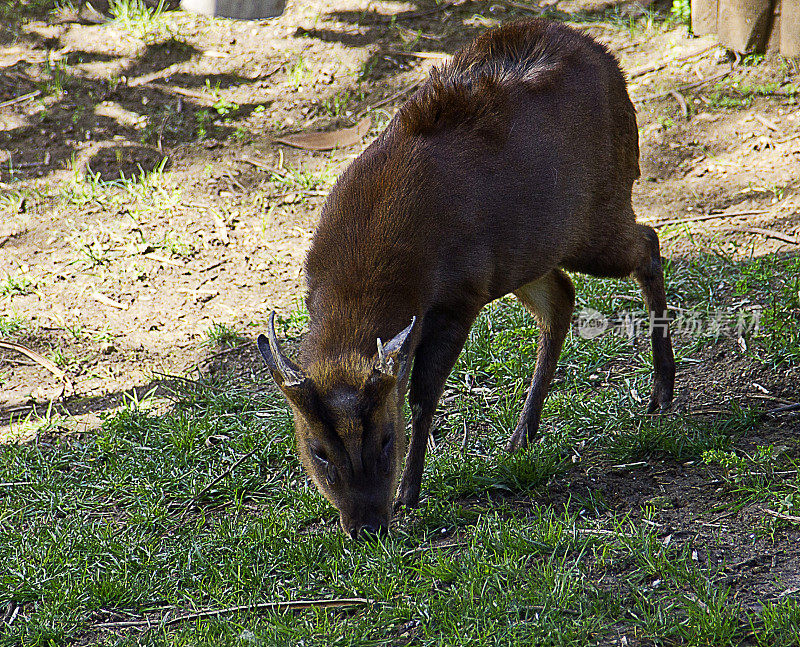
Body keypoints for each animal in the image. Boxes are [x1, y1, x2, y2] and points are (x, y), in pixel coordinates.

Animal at [258, 19, 676, 540]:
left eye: (385, 439)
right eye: (317, 451)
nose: (368, 527)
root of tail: (613, 68)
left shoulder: (460, 295)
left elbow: (423, 395)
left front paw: (409, 493)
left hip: (593, 218)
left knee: (648, 245)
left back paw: (661, 393)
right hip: (528, 254)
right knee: (563, 295)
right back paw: (522, 435)